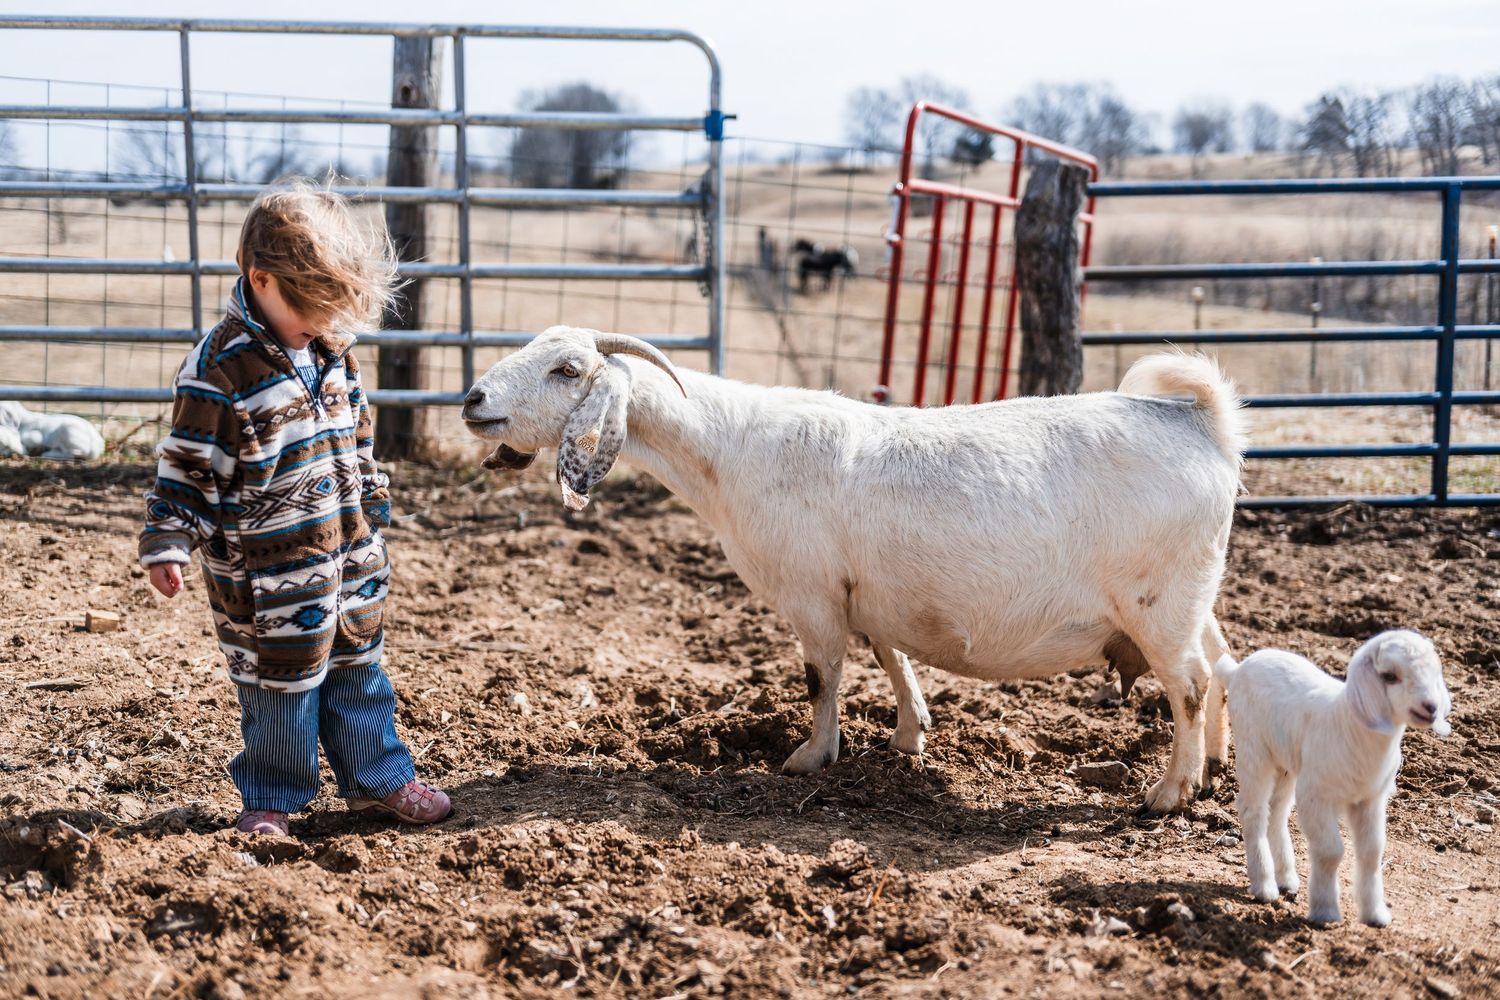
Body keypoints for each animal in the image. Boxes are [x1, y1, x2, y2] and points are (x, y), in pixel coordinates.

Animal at [462, 327, 1246, 814]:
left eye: (567, 369)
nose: (472, 400)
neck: (731, 448)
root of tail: (1198, 420)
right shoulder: (862, 591)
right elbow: (888, 652)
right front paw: (909, 736)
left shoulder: (810, 594)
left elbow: (823, 676)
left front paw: (811, 758)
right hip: (1190, 595)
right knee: (1220, 665)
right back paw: (1214, 768)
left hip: (1156, 600)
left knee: (1188, 684)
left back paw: (1168, 794)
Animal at [1215, 631, 1451, 926]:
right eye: (1389, 676)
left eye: (1434, 671)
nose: (1431, 707)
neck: (1350, 727)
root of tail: (1236, 670)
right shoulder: (1315, 796)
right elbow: (1331, 852)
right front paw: (1325, 912)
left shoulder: (1371, 799)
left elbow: (1372, 853)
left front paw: (1375, 914)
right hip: (1253, 748)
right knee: (1253, 810)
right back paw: (1264, 887)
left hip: (1287, 762)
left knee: (1277, 812)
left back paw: (1286, 879)